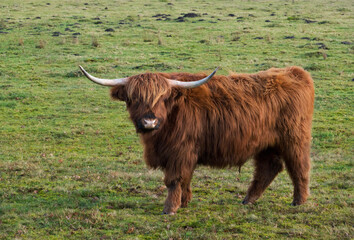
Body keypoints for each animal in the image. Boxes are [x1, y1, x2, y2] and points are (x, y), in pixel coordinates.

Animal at [79, 65, 314, 214]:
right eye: (133, 98)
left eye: (162, 98)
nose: (149, 122)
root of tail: (295, 72)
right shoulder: (185, 153)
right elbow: (186, 178)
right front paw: (184, 202)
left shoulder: (179, 151)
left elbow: (174, 179)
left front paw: (170, 208)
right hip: (266, 144)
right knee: (269, 167)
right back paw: (248, 200)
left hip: (294, 139)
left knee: (298, 167)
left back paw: (299, 202)